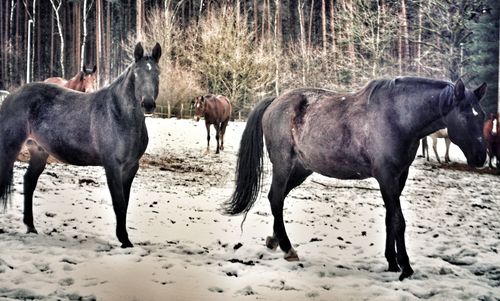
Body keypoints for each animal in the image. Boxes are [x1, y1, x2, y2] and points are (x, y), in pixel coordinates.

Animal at [0, 43, 160, 247]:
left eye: (157, 72)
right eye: (137, 73)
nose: (148, 104)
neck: (119, 115)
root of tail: (11, 96)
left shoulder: (131, 168)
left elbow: (125, 203)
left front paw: (125, 240)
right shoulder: (112, 166)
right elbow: (119, 203)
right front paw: (124, 240)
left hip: (38, 152)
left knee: (29, 182)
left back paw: (31, 227)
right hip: (9, 147)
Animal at [225, 77, 486, 278]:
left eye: (482, 115)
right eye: (466, 116)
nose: (481, 157)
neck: (397, 117)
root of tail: (275, 102)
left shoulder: (398, 178)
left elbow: (390, 219)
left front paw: (392, 262)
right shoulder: (387, 178)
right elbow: (398, 221)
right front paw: (405, 267)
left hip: (301, 170)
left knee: (276, 199)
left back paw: (275, 240)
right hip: (283, 166)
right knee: (276, 199)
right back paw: (288, 248)